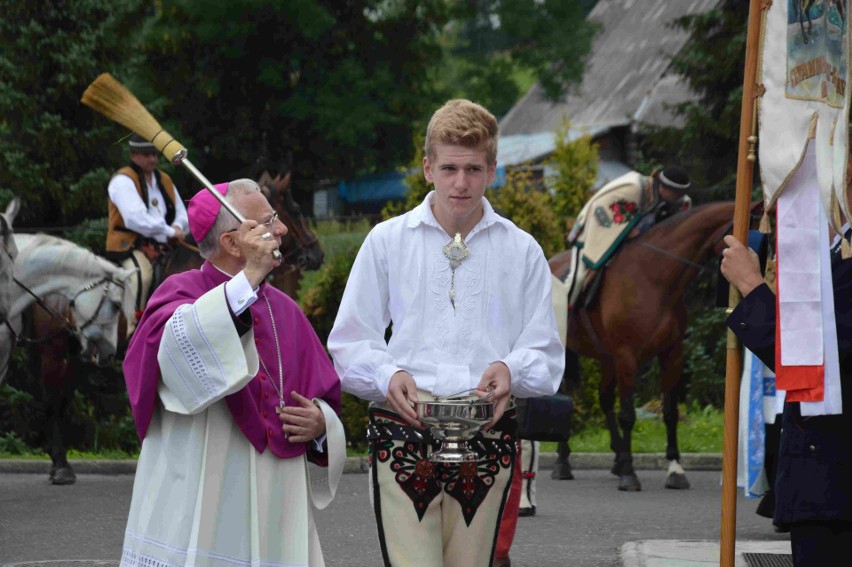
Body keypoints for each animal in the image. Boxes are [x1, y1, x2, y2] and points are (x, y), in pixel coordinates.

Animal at [548, 201, 736, 492]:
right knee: (566, 396)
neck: (654, 279)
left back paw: (615, 457)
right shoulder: (627, 356)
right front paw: (629, 472)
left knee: (604, 398)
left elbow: (670, 412)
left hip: (607, 358)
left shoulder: (671, 354)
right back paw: (563, 463)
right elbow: (627, 414)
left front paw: (675, 469)